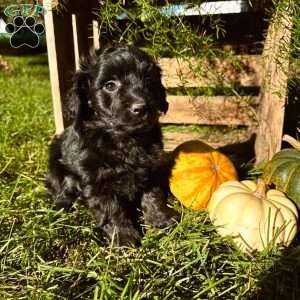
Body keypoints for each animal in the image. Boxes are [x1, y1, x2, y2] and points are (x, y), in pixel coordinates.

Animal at [45, 45, 179, 246]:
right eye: (110, 85)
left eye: (148, 80)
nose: (141, 107)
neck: (124, 138)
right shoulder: (97, 180)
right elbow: (111, 209)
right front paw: (124, 237)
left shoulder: (152, 166)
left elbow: (153, 195)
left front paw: (160, 219)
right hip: (56, 167)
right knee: (59, 190)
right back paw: (64, 206)